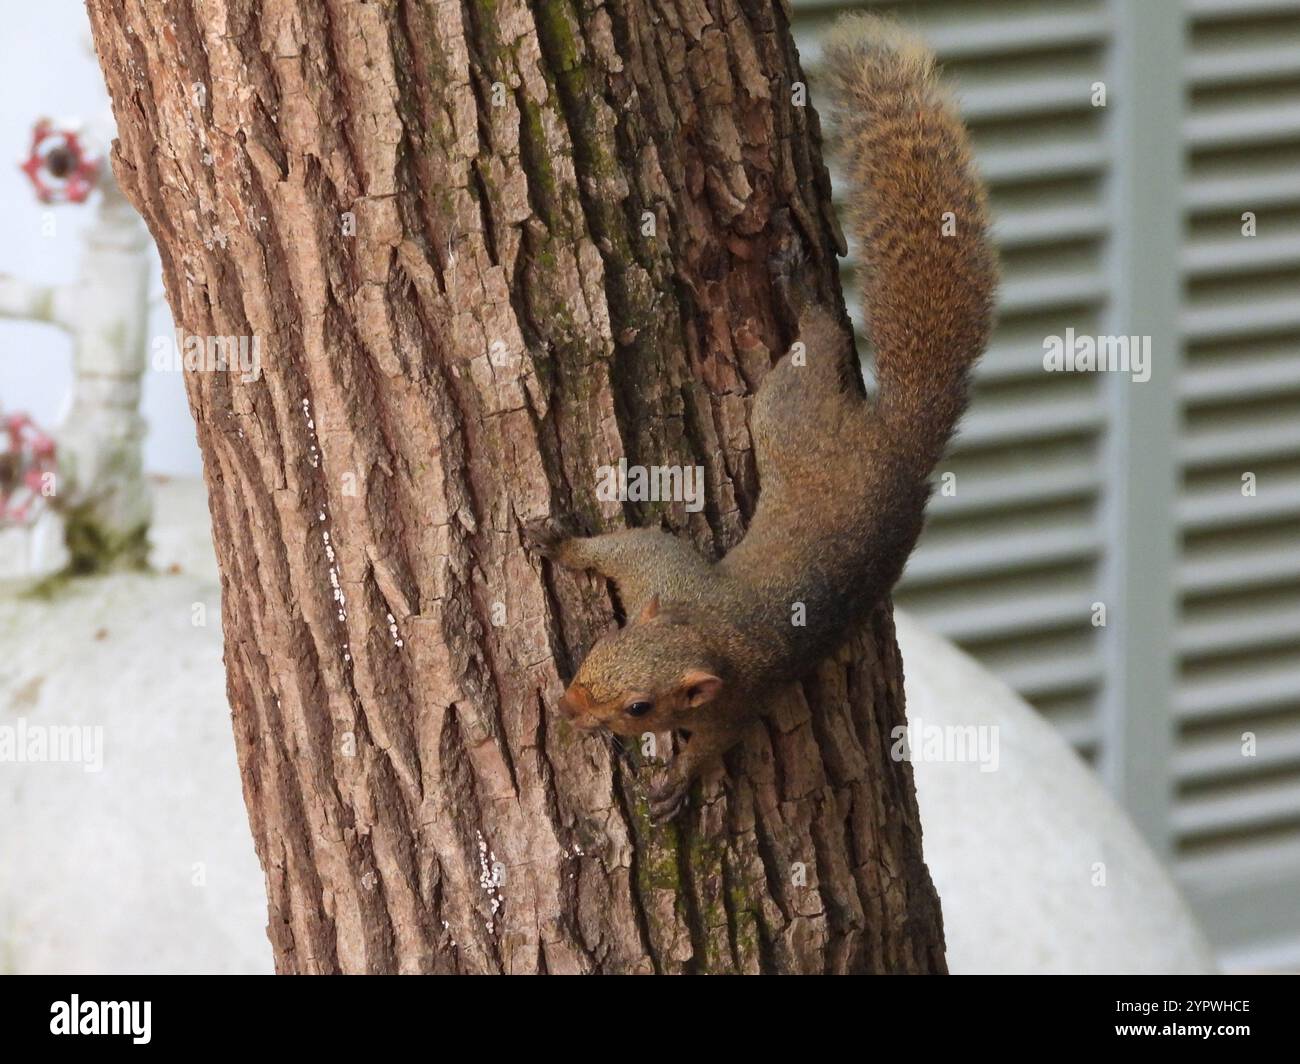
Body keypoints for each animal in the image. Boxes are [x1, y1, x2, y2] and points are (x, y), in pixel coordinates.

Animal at [525, 12, 993, 816]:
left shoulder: (734, 700)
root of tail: (902, 447)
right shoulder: (660, 577)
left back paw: (798, 280)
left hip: (789, 413)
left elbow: (713, 741)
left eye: (641, 709)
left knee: (821, 337)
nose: (569, 708)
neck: (697, 631)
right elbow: (627, 544)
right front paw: (559, 543)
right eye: (599, 647)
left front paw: (677, 783)